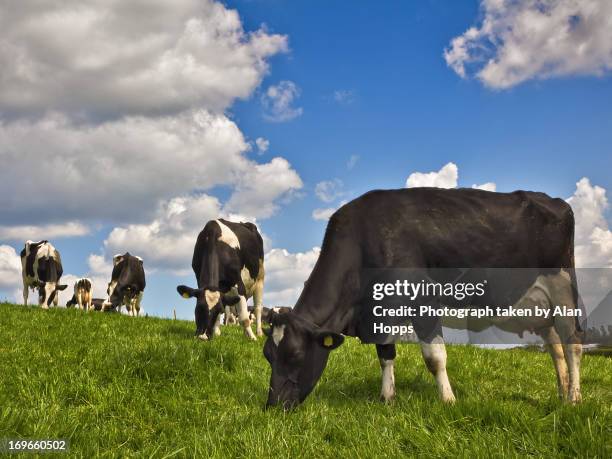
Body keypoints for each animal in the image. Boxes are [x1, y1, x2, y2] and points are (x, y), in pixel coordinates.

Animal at [262, 189, 584, 412]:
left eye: (295, 355)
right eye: (267, 355)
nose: (273, 406)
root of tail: (554, 200)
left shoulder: (422, 301)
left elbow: (434, 357)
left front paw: (448, 400)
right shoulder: (379, 310)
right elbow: (385, 355)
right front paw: (387, 398)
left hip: (563, 287)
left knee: (572, 344)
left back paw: (574, 399)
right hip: (539, 305)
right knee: (555, 347)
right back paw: (561, 392)